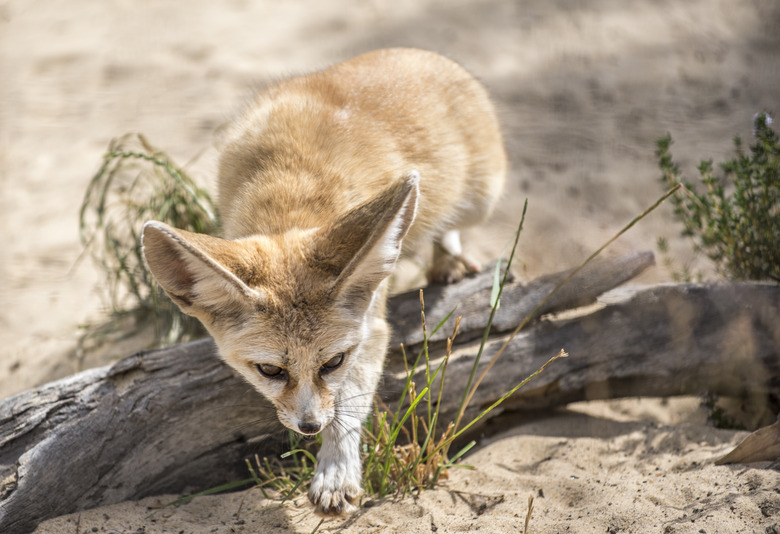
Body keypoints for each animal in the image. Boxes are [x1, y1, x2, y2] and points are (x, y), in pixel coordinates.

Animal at [141, 48, 506, 516]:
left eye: (332, 362)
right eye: (270, 370)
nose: (310, 426)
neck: (291, 191)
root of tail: (419, 53)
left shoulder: (372, 329)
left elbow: (348, 406)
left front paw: (335, 470)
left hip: (482, 201)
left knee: (452, 225)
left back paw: (449, 258)